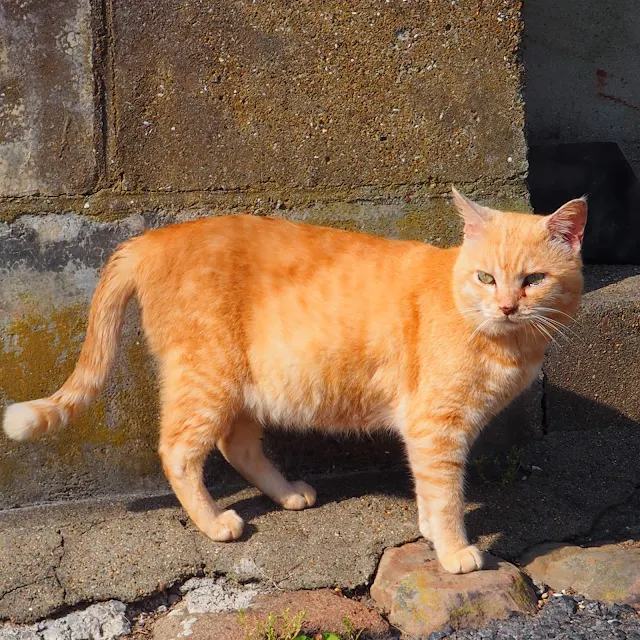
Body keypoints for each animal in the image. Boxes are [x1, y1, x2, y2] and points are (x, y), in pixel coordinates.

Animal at [3, 189, 584, 576]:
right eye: (487, 277)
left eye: (533, 280)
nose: (507, 306)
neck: (500, 338)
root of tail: (151, 237)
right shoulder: (437, 426)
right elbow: (445, 494)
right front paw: (453, 549)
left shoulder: (429, 434)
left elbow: (428, 487)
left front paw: (428, 530)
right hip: (206, 379)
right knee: (178, 451)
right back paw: (215, 523)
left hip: (246, 388)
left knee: (235, 447)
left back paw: (286, 494)